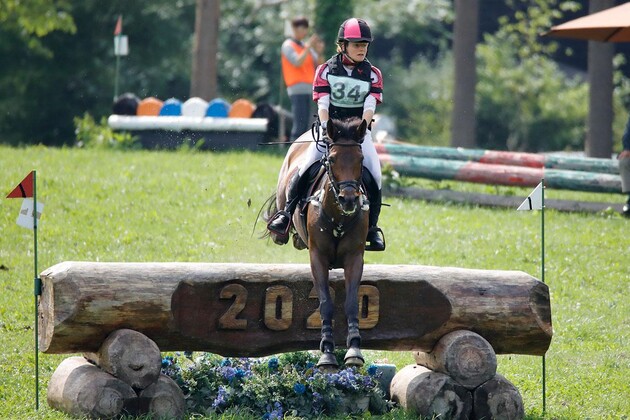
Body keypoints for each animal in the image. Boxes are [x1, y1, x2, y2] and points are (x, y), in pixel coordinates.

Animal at [266, 117, 370, 368]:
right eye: (331, 160)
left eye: (361, 160)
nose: (349, 199)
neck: (339, 216)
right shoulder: (318, 257)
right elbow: (325, 303)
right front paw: (327, 353)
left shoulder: (354, 258)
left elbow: (351, 302)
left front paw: (354, 349)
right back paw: (284, 228)